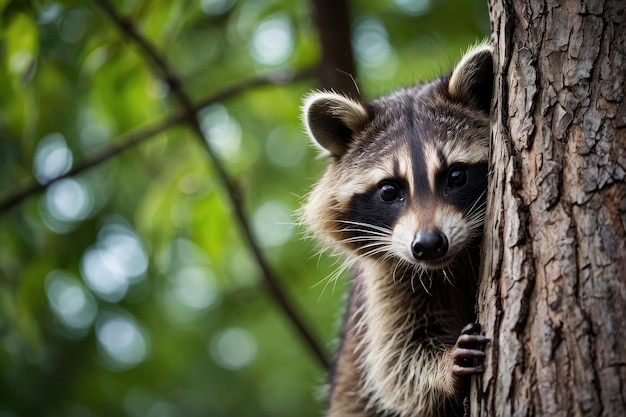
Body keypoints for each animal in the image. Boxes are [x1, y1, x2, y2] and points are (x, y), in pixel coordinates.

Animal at [302, 44, 492, 414]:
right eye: (389, 191)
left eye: (456, 175)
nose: (429, 244)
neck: (452, 262)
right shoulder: (385, 279)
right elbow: (395, 362)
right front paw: (444, 369)